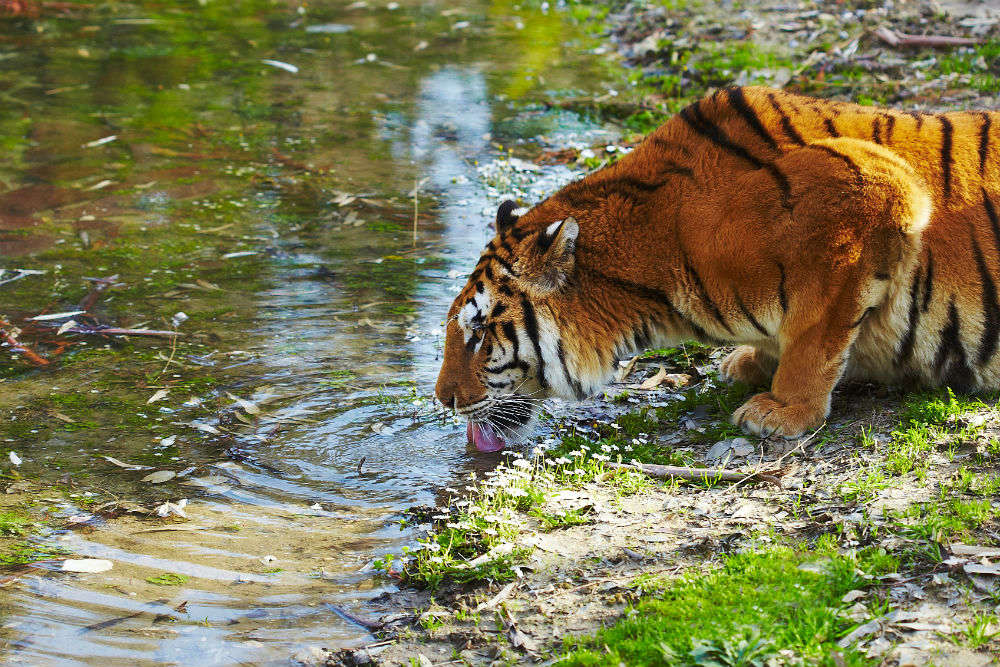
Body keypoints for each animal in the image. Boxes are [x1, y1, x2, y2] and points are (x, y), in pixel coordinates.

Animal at [440, 85, 1000, 448]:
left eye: (478, 333)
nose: (443, 401)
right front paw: (750, 363)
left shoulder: (877, 187)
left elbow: (816, 332)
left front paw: (784, 410)